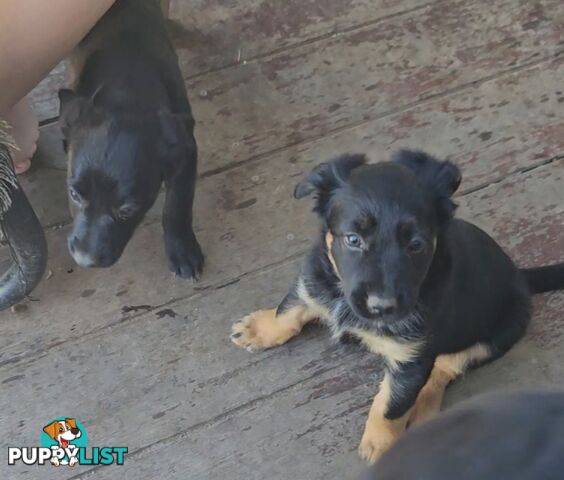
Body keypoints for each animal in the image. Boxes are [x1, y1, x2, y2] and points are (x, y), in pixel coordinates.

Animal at [57, 0, 202, 278]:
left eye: (126, 210)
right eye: (74, 194)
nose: (84, 260)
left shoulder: (185, 148)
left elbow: (178, 204)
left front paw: (182, 250)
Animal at [230, 152, 564, 464]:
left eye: (416, 245)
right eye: (353, 239)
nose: (382, 306)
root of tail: (520, 276)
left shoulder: (411, 359)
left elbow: (391, 404)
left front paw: (382, 442)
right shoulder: (314, 280)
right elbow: (289, 308)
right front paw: (261, 328)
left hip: (497, 334)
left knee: (445, 368)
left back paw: (424, 408)